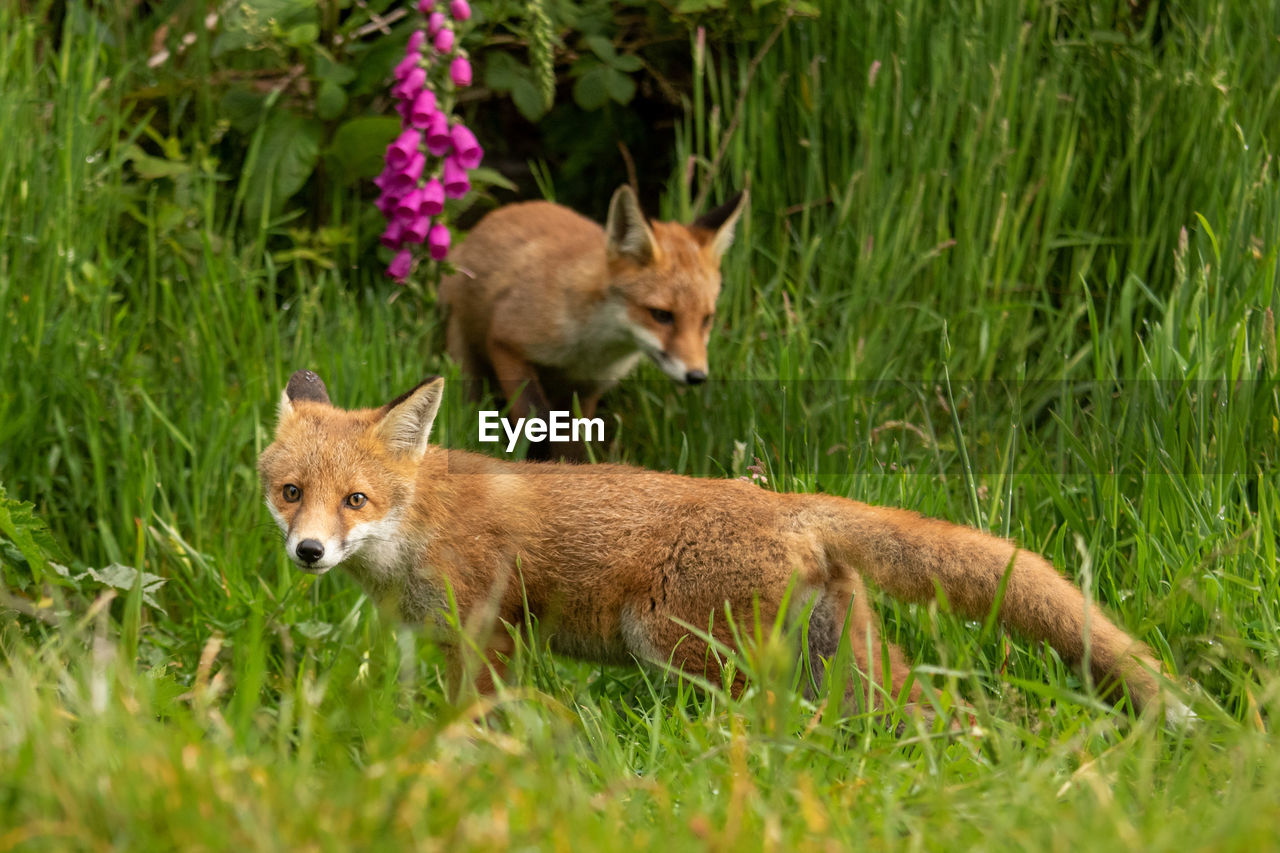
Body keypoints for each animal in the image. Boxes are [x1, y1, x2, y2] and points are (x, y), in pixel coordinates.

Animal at [254, 368, 1192, 722]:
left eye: (356, 499)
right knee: (929, 715)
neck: (415, 532)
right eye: (292, 492)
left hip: (679, 644)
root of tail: (788, 505)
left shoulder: (488, 630)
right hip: (845, 661)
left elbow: (475, 715)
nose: (309, 553)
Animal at [437, 184, 747, 432]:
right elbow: (534, 417)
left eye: (707, 319)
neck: (590, 349)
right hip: (465, 362)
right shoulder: (506, 343)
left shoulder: (587, 390)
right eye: (662, 315)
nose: (697, 376)